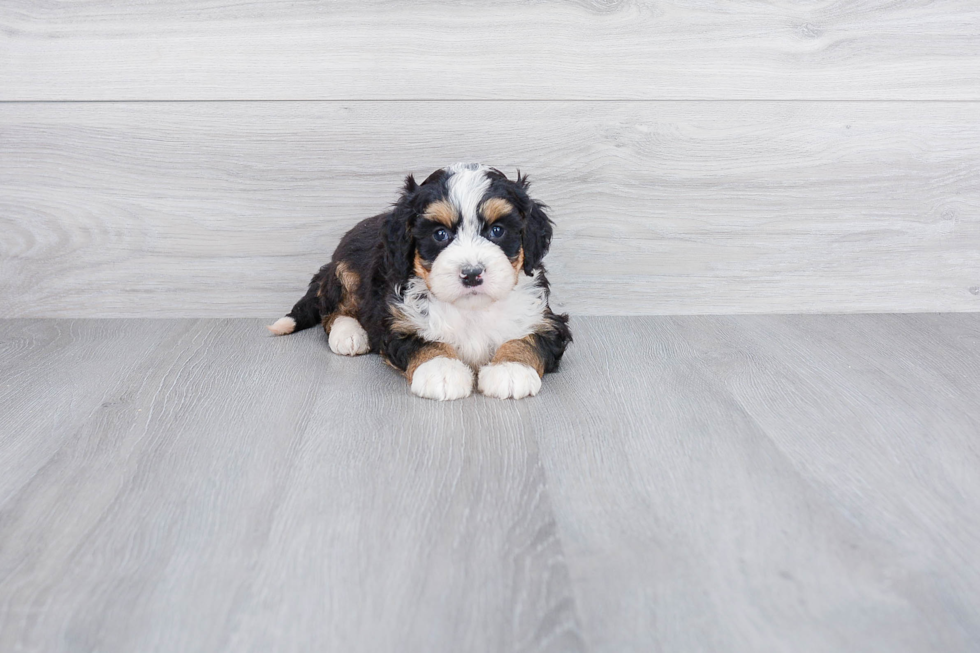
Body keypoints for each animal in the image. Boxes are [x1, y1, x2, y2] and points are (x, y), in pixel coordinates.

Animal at [268, 162, 576, 398]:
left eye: (497, 231)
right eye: (440, 234)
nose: (472, 274)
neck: (471, 309)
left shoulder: (546, 320)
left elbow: (528, 339)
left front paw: (511, 369)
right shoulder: (398, 321)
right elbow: (424, 342)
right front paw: (442, 370)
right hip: (347, 272)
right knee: (332, 311)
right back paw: (349, 334)